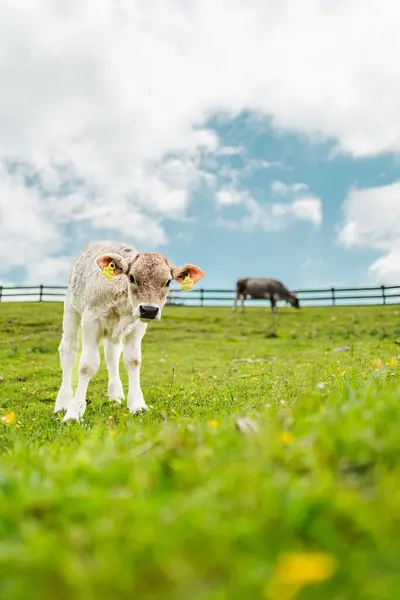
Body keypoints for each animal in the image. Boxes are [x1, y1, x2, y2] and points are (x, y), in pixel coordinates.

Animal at [54, 240, 205, 422]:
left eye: (168, 281)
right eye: (132, 277)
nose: (149, 310)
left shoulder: (138, 326)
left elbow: (133, 360)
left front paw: (137, 405)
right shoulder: (91, 320)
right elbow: (86, 365)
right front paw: (74, 412)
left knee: (111, 355)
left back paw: (115, 395)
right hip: (71, 308)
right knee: (68, 350)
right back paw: (62, 403)